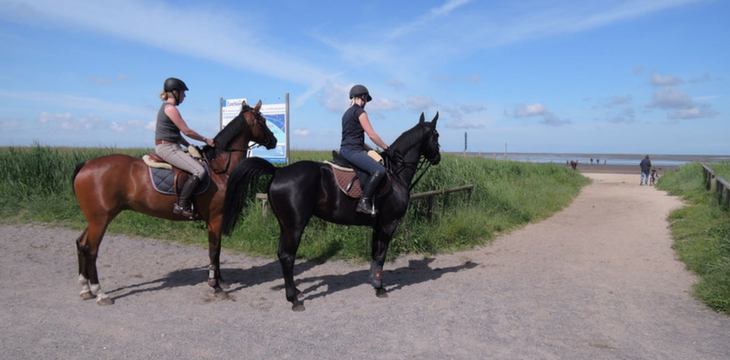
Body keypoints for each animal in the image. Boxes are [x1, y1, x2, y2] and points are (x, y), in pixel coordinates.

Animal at [72, 100, 276, 306]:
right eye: (263, 121)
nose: (274, 141)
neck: (219, 167)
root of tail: (87, 164)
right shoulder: (215, 218)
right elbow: (214, 251)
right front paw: (215, 287)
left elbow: (217, 250)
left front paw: (221, 281)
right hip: (100, 219)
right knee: (91, 250)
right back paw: (100, 293)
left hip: (97, 218)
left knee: (81, 243)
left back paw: (85, 289)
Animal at [220, 112, 438, 310]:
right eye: (436, 135)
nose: (437, 158)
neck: (394, 173)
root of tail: (278, 171)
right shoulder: (389, 224)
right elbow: (381, 255)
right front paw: (379, 287)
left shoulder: (377, 225)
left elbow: (375, 253)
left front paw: (373, 281)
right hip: (295, 226)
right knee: (288, 257)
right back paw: (294, 299)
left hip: (285, 225)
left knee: (282, 255)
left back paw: (296, 291)